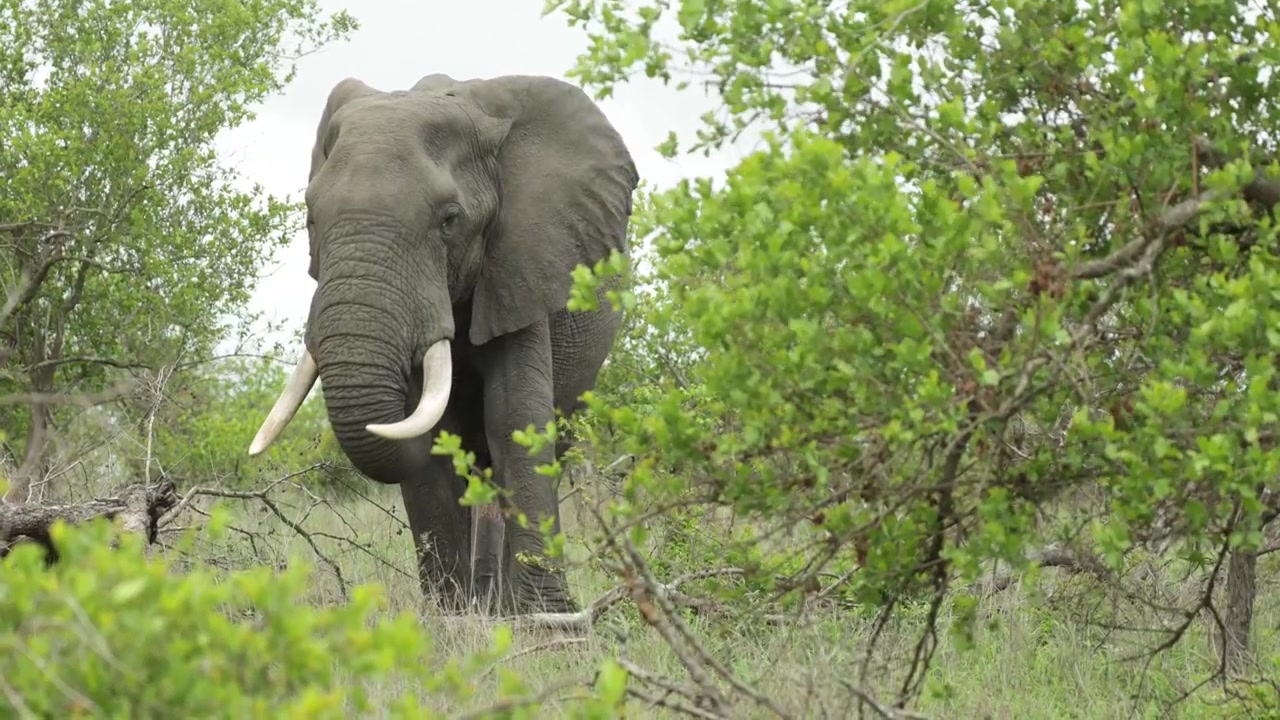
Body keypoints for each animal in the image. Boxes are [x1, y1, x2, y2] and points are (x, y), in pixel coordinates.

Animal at [245, 73, 639, 616]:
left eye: (450, 219)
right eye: (310, 218)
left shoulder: (521, 263)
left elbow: (514, 417)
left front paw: (546, 618)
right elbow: (433, 438)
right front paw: (448, 618)